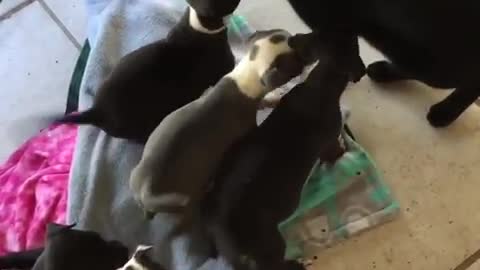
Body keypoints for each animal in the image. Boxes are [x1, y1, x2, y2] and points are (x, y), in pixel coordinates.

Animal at [203, 32, 356, 270]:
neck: (317, 85)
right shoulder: (329, 141)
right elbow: (335, 150)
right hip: (271, 242)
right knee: (273, 262)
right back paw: (297, 263)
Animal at [286, 0, 480, 127]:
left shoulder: (328, 16)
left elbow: (338, 45)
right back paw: (382, 71)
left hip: (437, 61)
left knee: (469, 83)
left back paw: (445, 112)